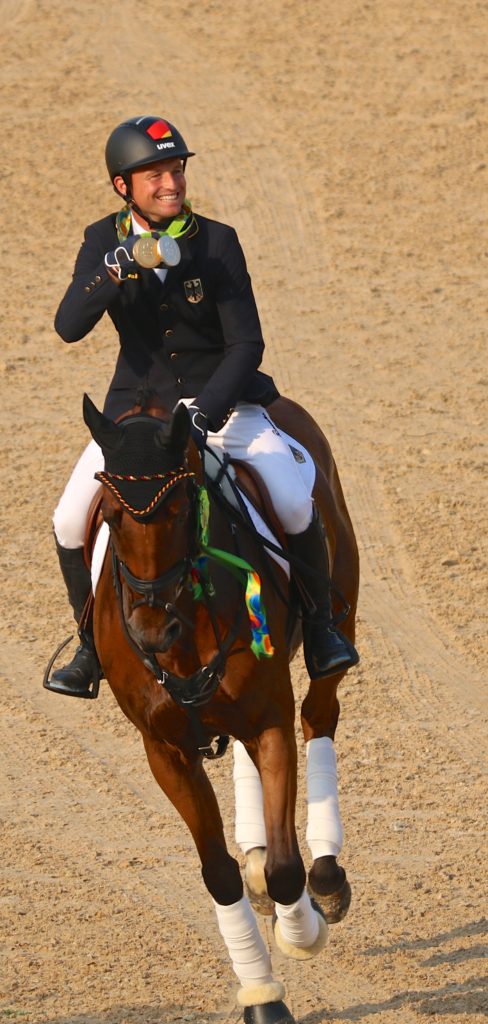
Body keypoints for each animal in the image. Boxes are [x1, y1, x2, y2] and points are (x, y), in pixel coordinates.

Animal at [82, 393, 358, 1024]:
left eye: (182, 510)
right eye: (108, 516)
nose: (150, 632)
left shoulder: (270, 719)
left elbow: (287, 869)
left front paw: (302, 932)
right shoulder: (165, 749)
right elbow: (218, 874)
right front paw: (261, 994)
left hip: (337, 619)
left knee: (320, 718)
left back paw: (327, 879)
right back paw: (256, 854)